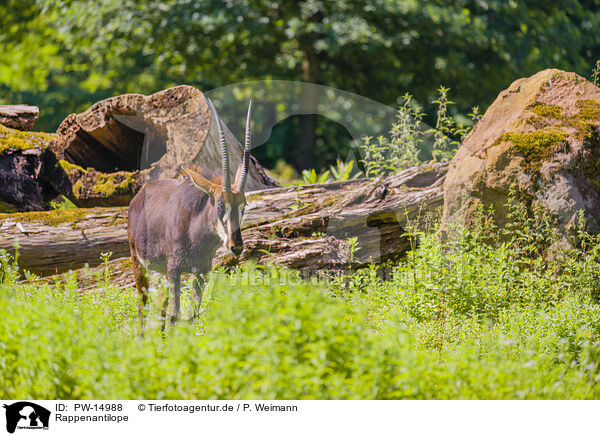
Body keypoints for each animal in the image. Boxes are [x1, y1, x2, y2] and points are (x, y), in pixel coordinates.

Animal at [127, 99, 252, 330]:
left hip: (161, 272)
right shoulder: (175, 270)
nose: (236, 246)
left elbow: (192, 314)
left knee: (160, 307)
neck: (197, 234)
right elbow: (175, 314)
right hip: (139, 262)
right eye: (220, 204)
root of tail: (139, 196)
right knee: (143, 306)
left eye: (244, 205)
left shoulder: (201, 271)